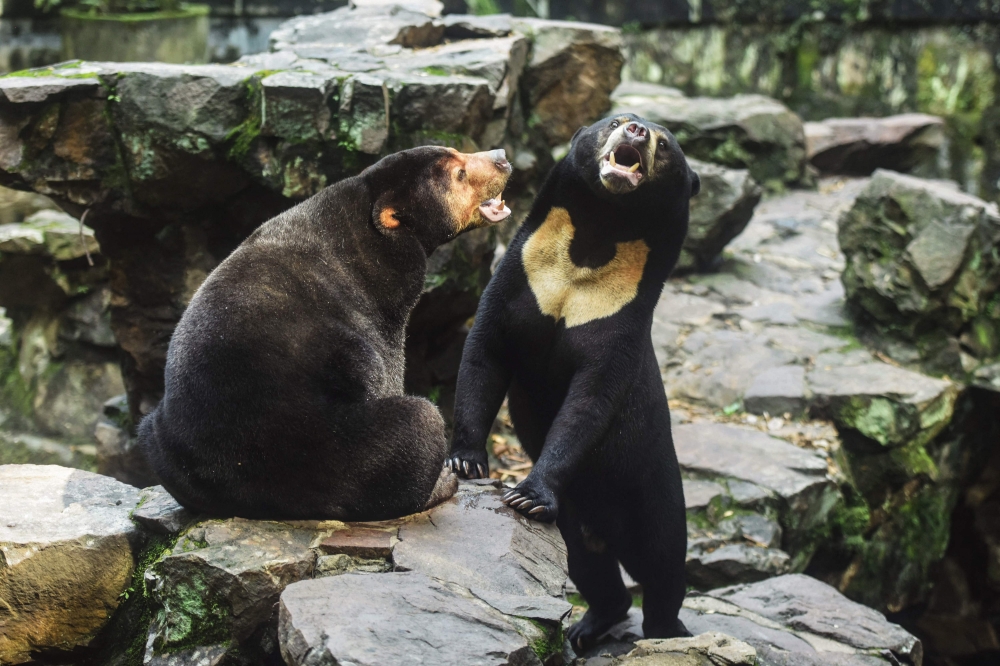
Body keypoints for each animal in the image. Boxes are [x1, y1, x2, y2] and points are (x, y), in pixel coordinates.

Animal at [139, 146, 513, 521]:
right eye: (459, 174)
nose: (501, 156)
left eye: (459, 153)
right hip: (333, 447)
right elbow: (383, 369)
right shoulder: (381, 308)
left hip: (158, 438)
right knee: (418, 425)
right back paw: (441, 483)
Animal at [447, 114, 700, 651]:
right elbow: (484, 355)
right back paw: (588, 627)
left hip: (653, 487)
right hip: (579, 519)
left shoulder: (619, 319)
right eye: (617, 121)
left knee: (663, 561)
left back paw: (666, 632)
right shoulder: (518, 280)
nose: (637, 131)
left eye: (665, 144)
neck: (594, 239)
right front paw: (465, 461)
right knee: (589, 564)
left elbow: (589, 402)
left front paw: (526, 494)